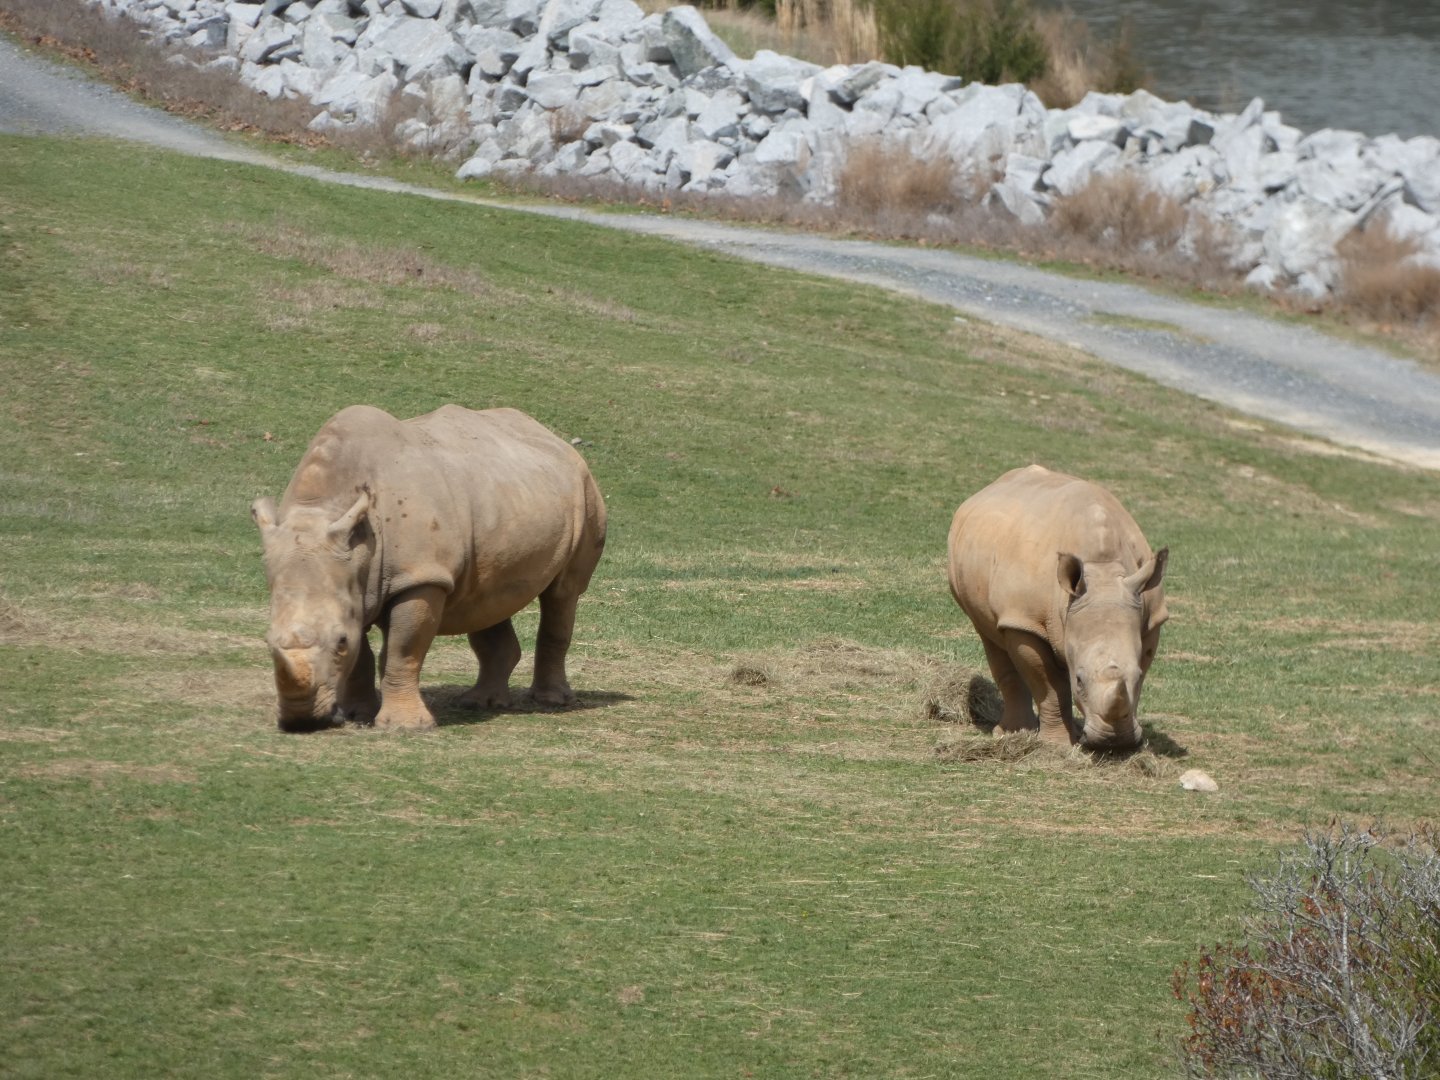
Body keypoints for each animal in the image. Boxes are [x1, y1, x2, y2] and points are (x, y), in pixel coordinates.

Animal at [251, 404, 607, 733]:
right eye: (268, 642)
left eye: (339, 642)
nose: (300, 721)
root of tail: (554, 438)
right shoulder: (353, 584)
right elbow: (362, 655)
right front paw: (356, 715)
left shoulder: (421, 576)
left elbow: (403, 649)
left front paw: (404, 727)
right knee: (488, 595)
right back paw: (480, 703)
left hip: (586, 490)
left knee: (563, 593)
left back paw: (551, 702)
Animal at [946, 465, 1168, 749]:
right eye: (1079, 681)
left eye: (1139, 676)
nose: (1114, 741)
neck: (1102, 572)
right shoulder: (1026, 620)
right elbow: (1049, 684)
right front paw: (1057, 745)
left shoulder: (1150, 617)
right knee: (991, 635)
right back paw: (1013, 733)